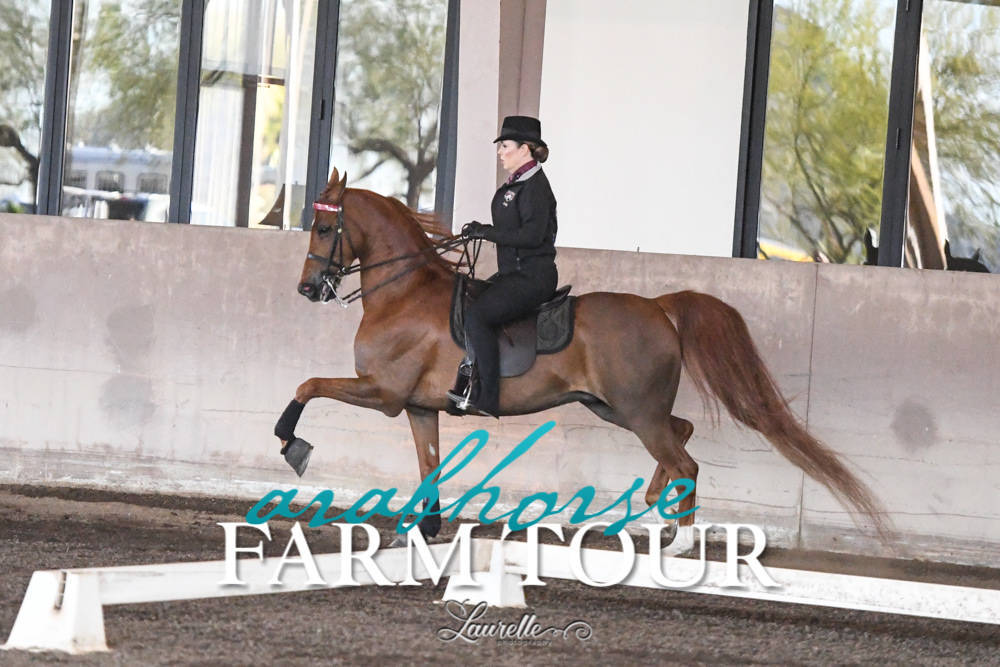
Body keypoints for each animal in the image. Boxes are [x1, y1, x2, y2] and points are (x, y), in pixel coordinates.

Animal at [276, 168, 891, 553]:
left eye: (325, 227)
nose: (307, 289)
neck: (403, 293)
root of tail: (658, 306)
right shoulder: (418, 407)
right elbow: (430, 466)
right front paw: (426, 529)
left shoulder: (381, 392)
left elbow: (308, 385)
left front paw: (292, 444)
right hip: (614, 407)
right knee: (682, 434)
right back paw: (655, 502)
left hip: (635, 411)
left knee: (687, 462)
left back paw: (681, 539)